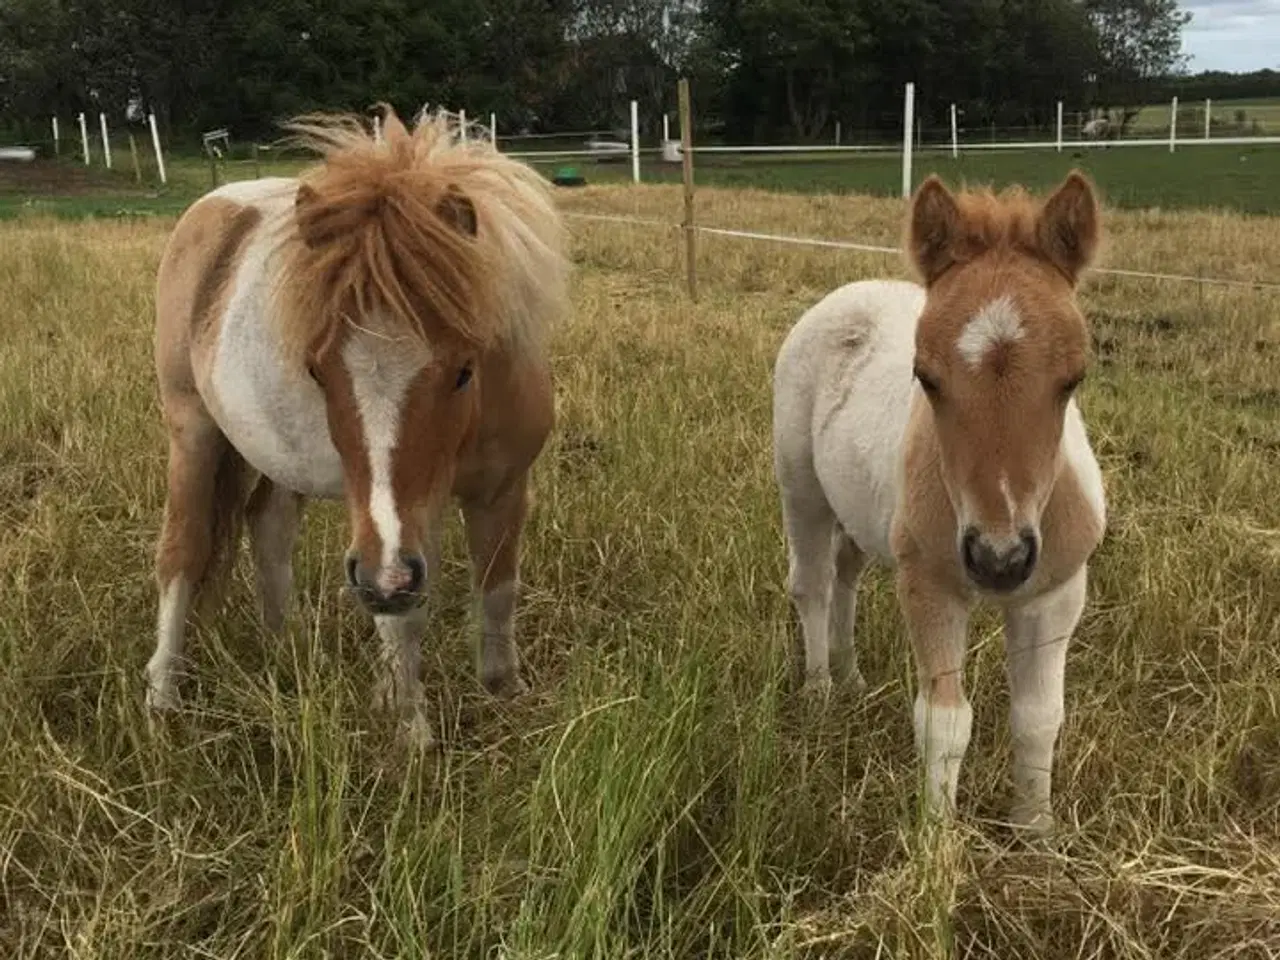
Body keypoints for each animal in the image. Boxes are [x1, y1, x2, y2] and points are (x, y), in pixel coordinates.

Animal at [145, 108, 565, 747]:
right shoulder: (396, 523)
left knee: (268, 525)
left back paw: (288, 651)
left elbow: (497, 590)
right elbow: (405, 614)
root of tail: (213, 207)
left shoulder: (502, 489)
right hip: (192, 432)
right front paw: (410, 729)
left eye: (464, 369)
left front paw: (503, 695)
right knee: (183, 551)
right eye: (318, 370)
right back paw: (162, 697)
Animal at [768, 171, 1111, 834]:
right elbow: (945, 722)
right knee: (813, 584)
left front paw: (1035, 830)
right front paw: (936, 839)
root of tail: (851, 291)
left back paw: (852, 679)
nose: (999, 561)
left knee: (846, 575)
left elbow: (1039, 716)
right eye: (926, 378)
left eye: (1074, 378)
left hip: (862, 513)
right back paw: (820, 691)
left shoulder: (1058, 594)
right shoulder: (930, 587)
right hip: (801, 487)